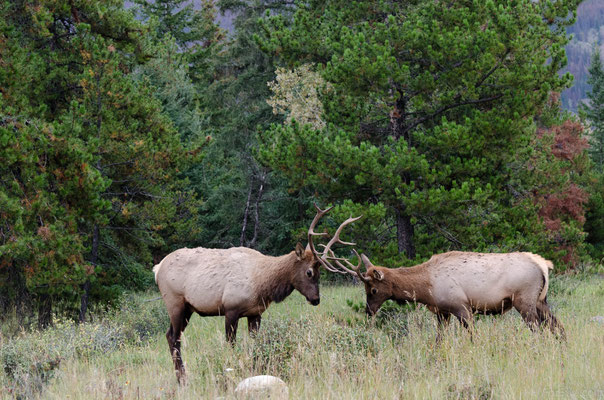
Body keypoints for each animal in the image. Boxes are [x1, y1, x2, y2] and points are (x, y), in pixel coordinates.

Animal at [153, 205, 358, 382]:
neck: (262, 283)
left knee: (170, 335)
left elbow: (256, 344)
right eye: (309, 272)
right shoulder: (231, 309)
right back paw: (182, 379)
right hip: (175, 302)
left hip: (188, 308)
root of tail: (157, 268)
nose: (316, 299)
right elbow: (231, 345)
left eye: (320, 272)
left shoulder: (255, 313)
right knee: (174, 337)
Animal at [340, 250, 568, 340]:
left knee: (539, 330)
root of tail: (543, 265)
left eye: (373, 290)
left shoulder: (462, 307)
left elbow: (473, 337)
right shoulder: (443, 312)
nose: (369, 311)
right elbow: (439, 339)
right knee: (558, 326)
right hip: (540, 301)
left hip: (524, 301)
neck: (427, 288)